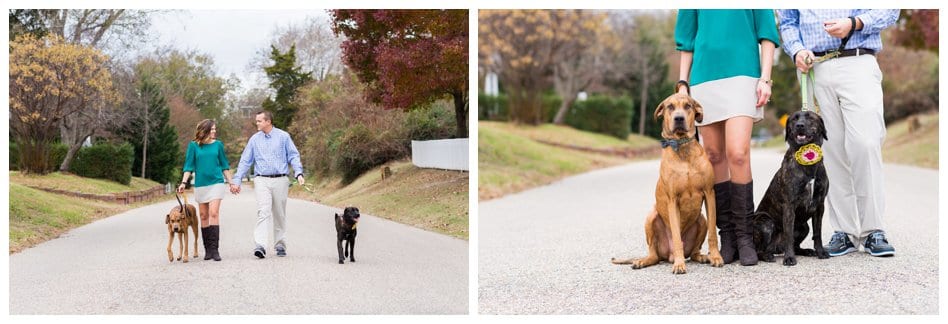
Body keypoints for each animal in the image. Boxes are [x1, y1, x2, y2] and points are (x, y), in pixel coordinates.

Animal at [612, 91, 724, 274]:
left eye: (688, 106)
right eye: (670, 107)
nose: (679, 118)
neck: (682, 146)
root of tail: (667, 255)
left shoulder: (709, 193)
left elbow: (713, 232)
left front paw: (715, 256)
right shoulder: (673, 199)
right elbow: (677, 237)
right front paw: (679, 264)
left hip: (701, 220)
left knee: (694, 251)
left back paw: (703, 257)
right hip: (651, 217)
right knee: (654, 255)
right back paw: (644, 261)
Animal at [756, 111, 828, 266]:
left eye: (810, 117)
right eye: (794, 119)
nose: (799, 125)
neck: (808, 165)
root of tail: (776, 248)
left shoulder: (820, 205)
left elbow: (817, 232)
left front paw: (820, 252)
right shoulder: (789, 205)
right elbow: (788, 234)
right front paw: (789, 258)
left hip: (803, 226)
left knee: (797, 245)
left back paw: (806, 251)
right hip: (765, 222)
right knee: (758, 249)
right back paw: (768, 256)